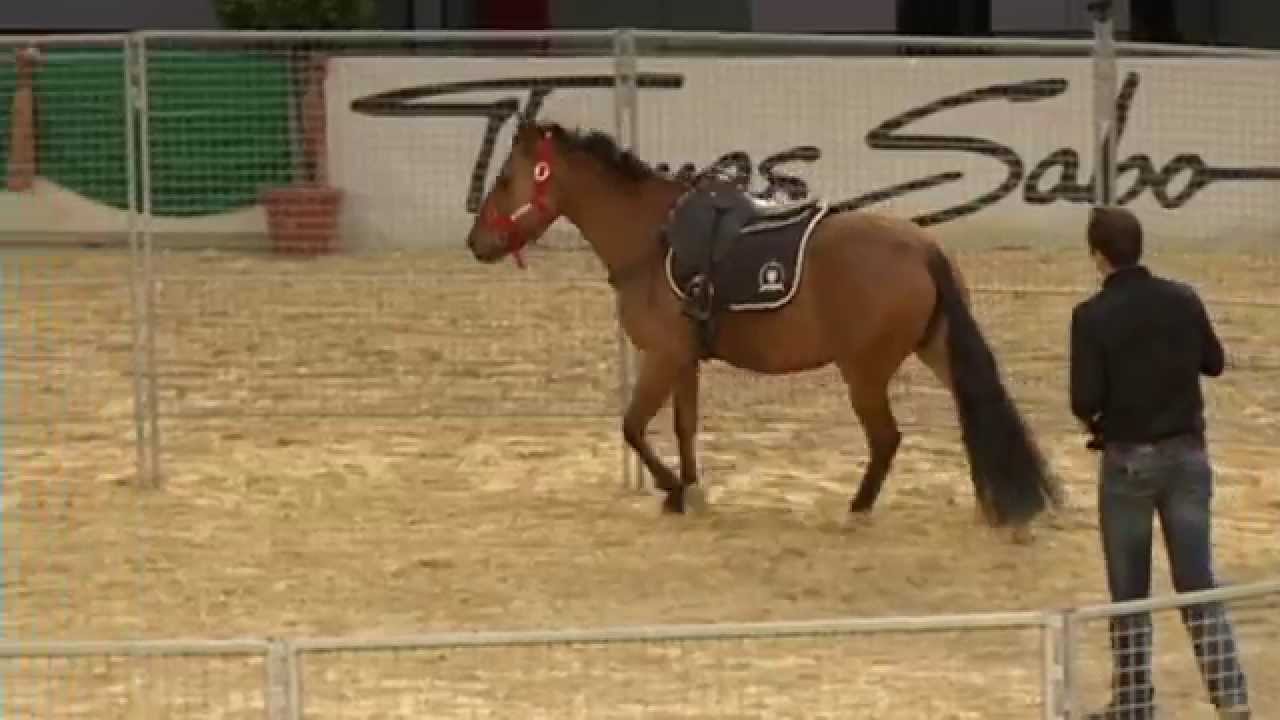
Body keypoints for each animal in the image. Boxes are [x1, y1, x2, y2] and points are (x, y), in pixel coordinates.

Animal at [464, 119, 1062, 535]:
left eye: (505, 177)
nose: (477, 243)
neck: (654, 240)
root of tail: (922, 247)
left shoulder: (661, 358)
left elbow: (632, 427)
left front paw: (674, 491)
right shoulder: (683, 361)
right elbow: (683, 427)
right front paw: (692, 490)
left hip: (865, 371)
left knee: (886, 438)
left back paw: (857, 508)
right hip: (934, 349)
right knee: (971, 410)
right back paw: (992, 501)